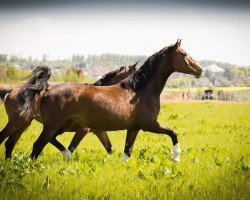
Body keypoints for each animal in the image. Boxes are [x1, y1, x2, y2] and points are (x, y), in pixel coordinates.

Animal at [0, 63, 137, 160]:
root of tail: (11, 90)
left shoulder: (98, 131)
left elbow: (109, 148)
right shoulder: (82, 130)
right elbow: (71, 147)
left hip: (24, 124)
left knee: (10, 143)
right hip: (17, 122)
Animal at [30, 39, 203, 162]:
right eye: (184, 54)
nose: (200, 70)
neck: (139, 91)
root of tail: (46, 90)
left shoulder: (133, 128)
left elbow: (125, 152)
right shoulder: (150, 124)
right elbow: (173, 133)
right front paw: (176, 157)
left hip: (60, 126)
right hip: (53, 125)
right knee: (38, 145)